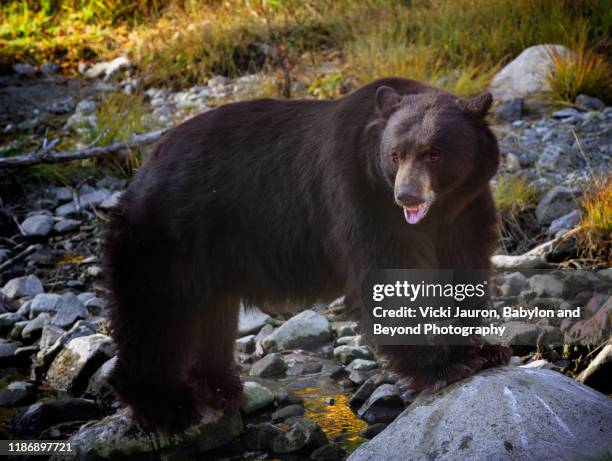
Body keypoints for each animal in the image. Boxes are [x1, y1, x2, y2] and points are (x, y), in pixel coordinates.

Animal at [104, 77, 512, 430]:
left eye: (433, 153)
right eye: (395, 155)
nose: (407, 196)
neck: (435, 212)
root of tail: (142, 171)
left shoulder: (466, 209)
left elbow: (464, 269)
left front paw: (486, 349)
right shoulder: (361, 199)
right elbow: (390, 278)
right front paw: (444, 365)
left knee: (211, 315)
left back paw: (219, 387)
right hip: (166, 238)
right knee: (158, 314)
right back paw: (166, 404)